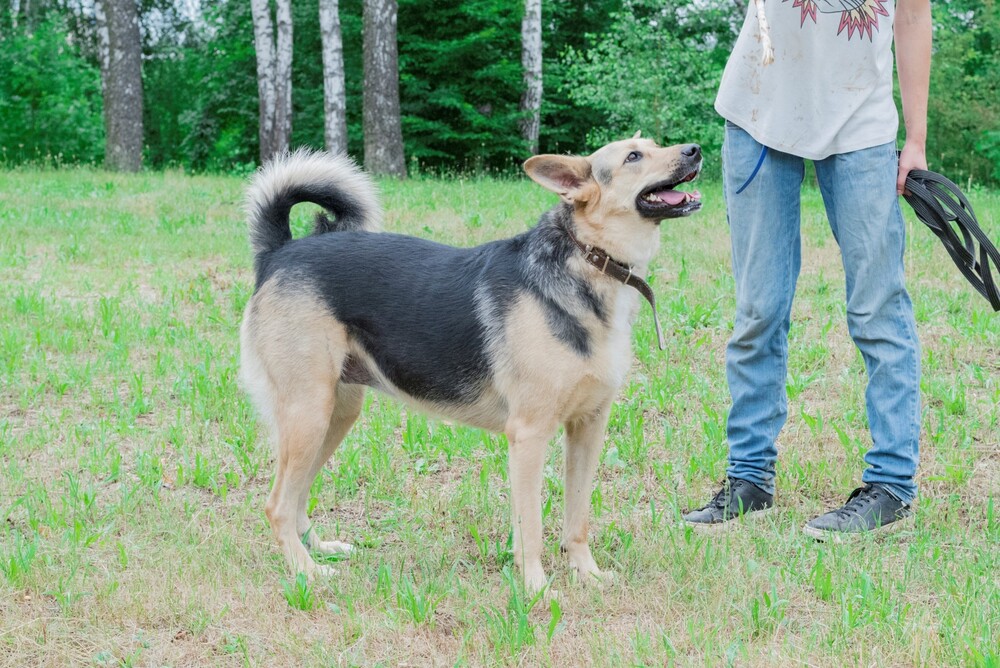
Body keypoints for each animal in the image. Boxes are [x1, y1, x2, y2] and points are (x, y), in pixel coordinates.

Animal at [238, 136, 700, 596]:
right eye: (633, 157)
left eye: (654, 144)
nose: (694, 149)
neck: (586, 260)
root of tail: (280, 251)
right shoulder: (528, 436)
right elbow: (530, 527)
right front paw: (536, 589)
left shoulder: (588, 428)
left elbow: (577, 519)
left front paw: (588, 574)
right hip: (309, 414)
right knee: (277, 504)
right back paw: (306, 570)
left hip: (336, 414)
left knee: (297, 495)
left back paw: (319, 549)